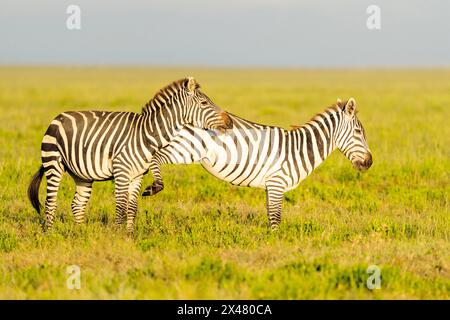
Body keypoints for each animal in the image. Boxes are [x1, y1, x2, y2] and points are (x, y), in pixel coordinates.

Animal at [27, 77, 234, 232]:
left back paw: (80, 233)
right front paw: (117, 236)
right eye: (204, 103)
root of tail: (58, 117)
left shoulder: (137, 175)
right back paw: (51, 234)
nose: (230, 121)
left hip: (81, 174)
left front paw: (129, 235)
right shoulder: (121, 172)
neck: (147, 134)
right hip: (53, 163)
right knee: (51, 202)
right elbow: (120, 206)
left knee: (77, 204)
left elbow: (132, 207)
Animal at [142, 97, 372, 230]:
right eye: (358, 132)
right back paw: (154, 187)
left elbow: (271, 215)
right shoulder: (278, 182)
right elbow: (276, 218)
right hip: (183, 149)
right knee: (154, 157)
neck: (300, 148)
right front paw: (277, 245)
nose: (369, 162)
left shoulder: (271, 185)